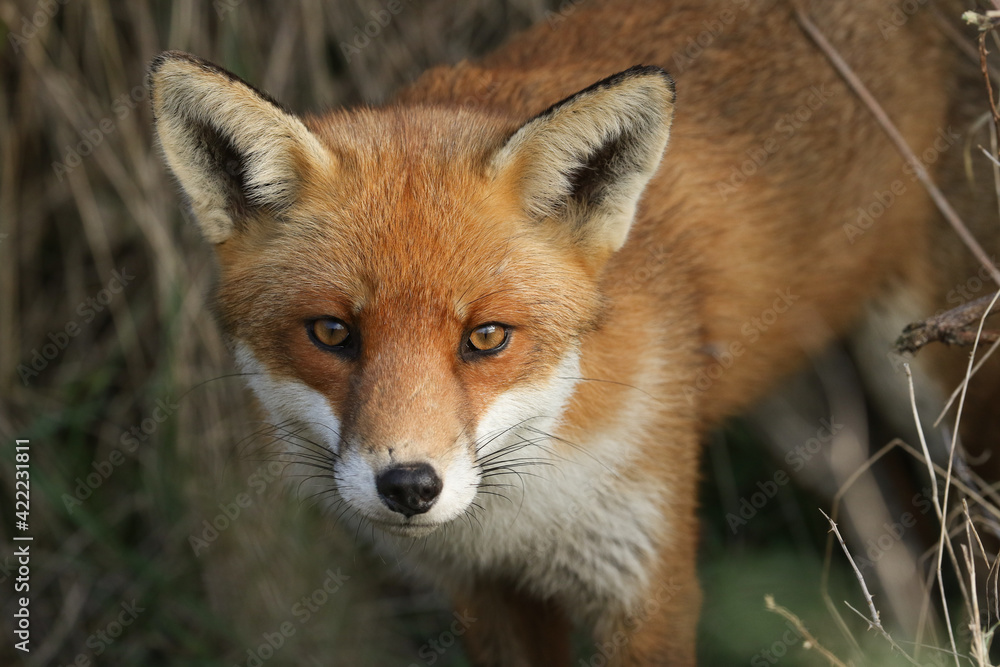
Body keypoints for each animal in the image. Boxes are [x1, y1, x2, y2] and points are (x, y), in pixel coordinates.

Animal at [148, 0, 1000, 664]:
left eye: (487, 337)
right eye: (331, 332)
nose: (410, 487)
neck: (520, 514)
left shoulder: (646, 580)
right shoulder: (490, 595)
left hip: (943, 399)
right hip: (811, 426)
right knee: (894, 540)